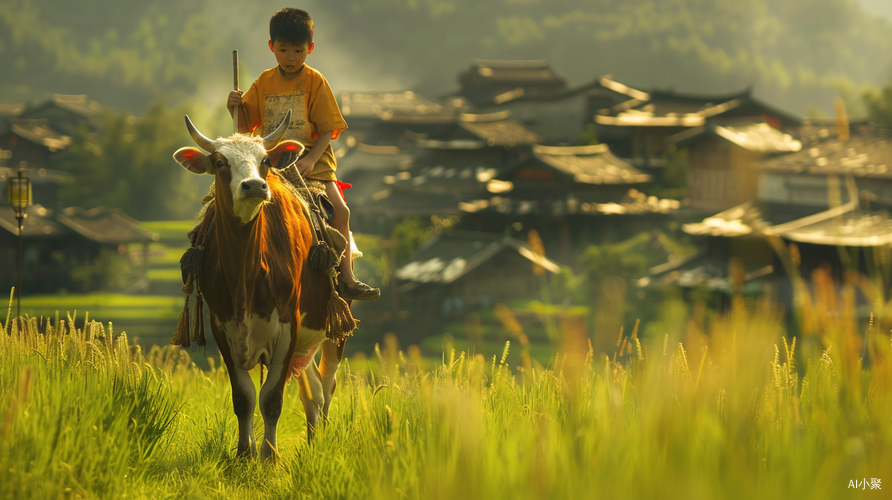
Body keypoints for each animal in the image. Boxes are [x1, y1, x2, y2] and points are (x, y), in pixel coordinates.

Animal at [173, 111, 342, 458]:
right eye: (220, 162)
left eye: (264, 160)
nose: (254, 186)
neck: (246, 273)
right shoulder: (223, 327)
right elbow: (245, 397)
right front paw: (244, 453)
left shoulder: (288, 326)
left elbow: (271, 398)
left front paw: (269, 455)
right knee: (312, 392)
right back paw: (312, 441)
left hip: (334, 328)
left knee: (327, 384)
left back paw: (323, 439)